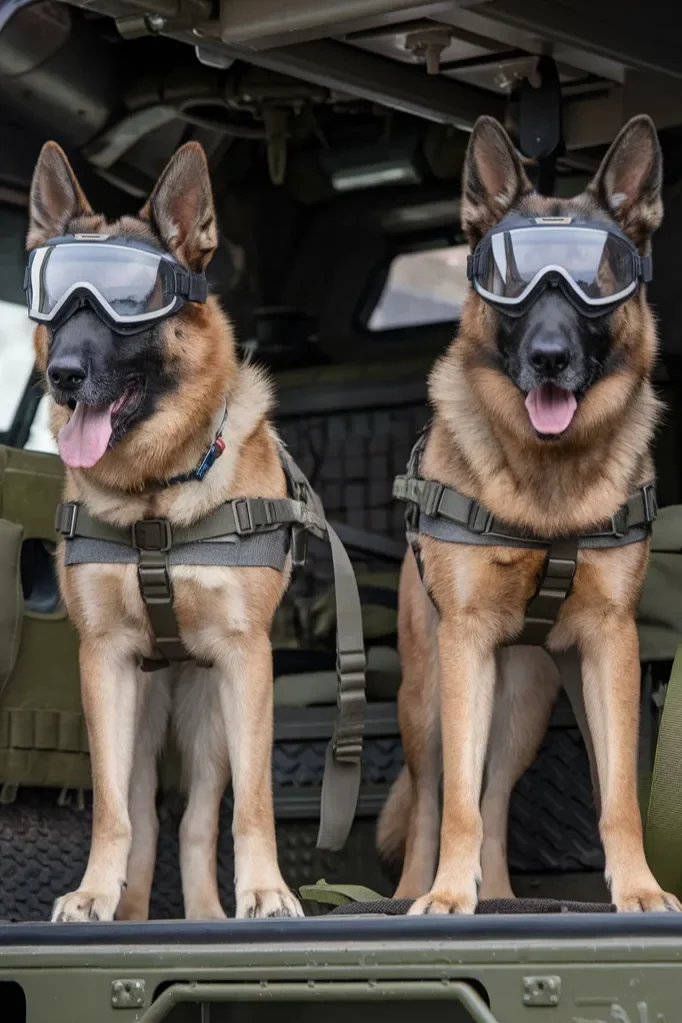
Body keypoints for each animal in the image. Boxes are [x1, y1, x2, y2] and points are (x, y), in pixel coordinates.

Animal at [26, 142, 304, 920]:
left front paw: (266, 890)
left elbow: (253, 805)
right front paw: (94, 891)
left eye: (128, 307)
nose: (62, 376)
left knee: (201, 814)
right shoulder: (104, 664)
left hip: (208, 717)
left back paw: (211, 913)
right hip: (144, 711)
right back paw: (127, 907)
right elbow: (113, 810)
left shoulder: (245, 662)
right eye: (55, 305)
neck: (156, 497)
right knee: (146, 814)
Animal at [376, 116, 678, 916]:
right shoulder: (465, 648)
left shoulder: (611, 647)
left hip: (525, 708)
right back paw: (416, 888)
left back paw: (506, 895)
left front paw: (639, 887)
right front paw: (447, 894)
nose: (548, 358)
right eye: (508, 283)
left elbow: (618, 797)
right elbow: (455, 801)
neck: (547, 477)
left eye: (599, 279)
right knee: (434, 792)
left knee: (498, 795)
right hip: (429, 696)